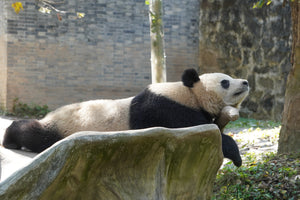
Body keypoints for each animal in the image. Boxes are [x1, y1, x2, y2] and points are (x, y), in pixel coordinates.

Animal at [2, 69, 248, 167]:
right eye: (225, 81)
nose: (245, 82)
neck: (190, 93)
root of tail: (52, 114)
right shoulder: (166, 109)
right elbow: (201, 130)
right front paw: (236, 156)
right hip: (63, 125)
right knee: (37, 134)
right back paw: (10, 138)